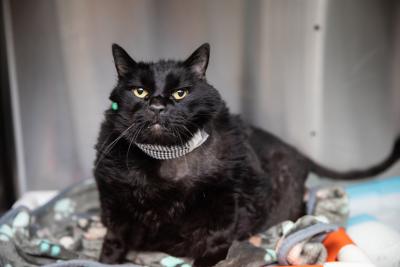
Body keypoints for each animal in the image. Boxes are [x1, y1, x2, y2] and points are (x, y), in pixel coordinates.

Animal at [94, 43, 400, 266]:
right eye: (139, 91)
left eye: (181, 93)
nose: (157, 105)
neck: (166, 160)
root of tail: (297, 152)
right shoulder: (113, 204)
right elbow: (113, 241)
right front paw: (105, 259)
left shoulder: (223, 211)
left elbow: (212, 245)